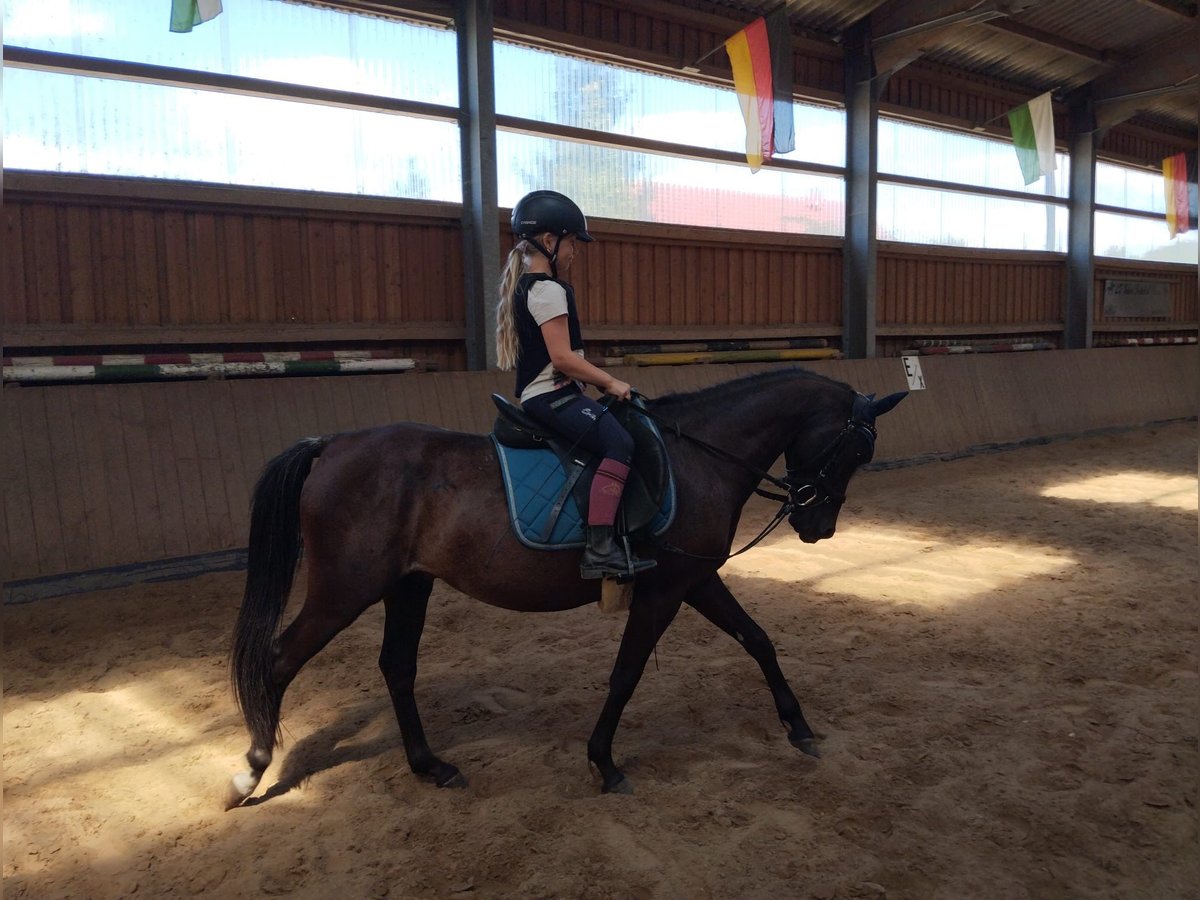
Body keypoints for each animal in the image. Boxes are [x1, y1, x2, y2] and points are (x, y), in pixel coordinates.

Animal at [225, 367, 902, 811]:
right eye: (853, 451)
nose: (818, 527)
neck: (699, 457)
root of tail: (331, 445)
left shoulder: (695, 578)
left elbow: (757, 639)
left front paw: (799, 727)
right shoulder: (666, 590)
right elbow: (627, 672)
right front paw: (603, 761)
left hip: (408, 586)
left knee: (396, 666)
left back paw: (430, 766)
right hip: (347, 587)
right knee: (279, 660)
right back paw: (251, 774)